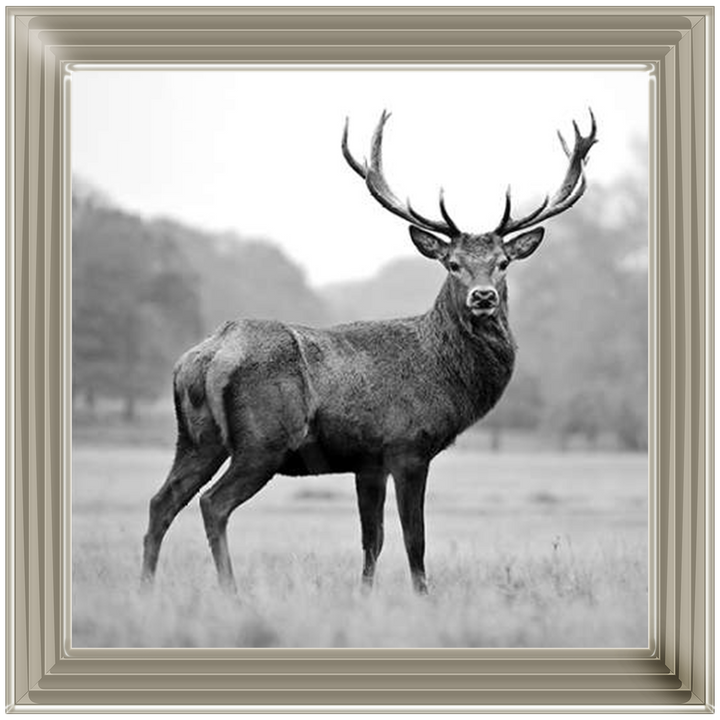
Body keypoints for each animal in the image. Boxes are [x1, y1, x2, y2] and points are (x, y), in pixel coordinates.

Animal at [141, 110, 597, 595]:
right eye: (452, 263)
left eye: (503, 263)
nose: (483, 297)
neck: (444, 375)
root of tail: (206, 356)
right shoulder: (408, 446)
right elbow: (414, 538)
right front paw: (423, 596)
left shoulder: (368, 461)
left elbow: (372, 539)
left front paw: (365, 595)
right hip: (263, 440)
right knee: (213, 503)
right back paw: (231, 591)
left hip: (196, 437)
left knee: (161, 501)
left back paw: (146, 587)